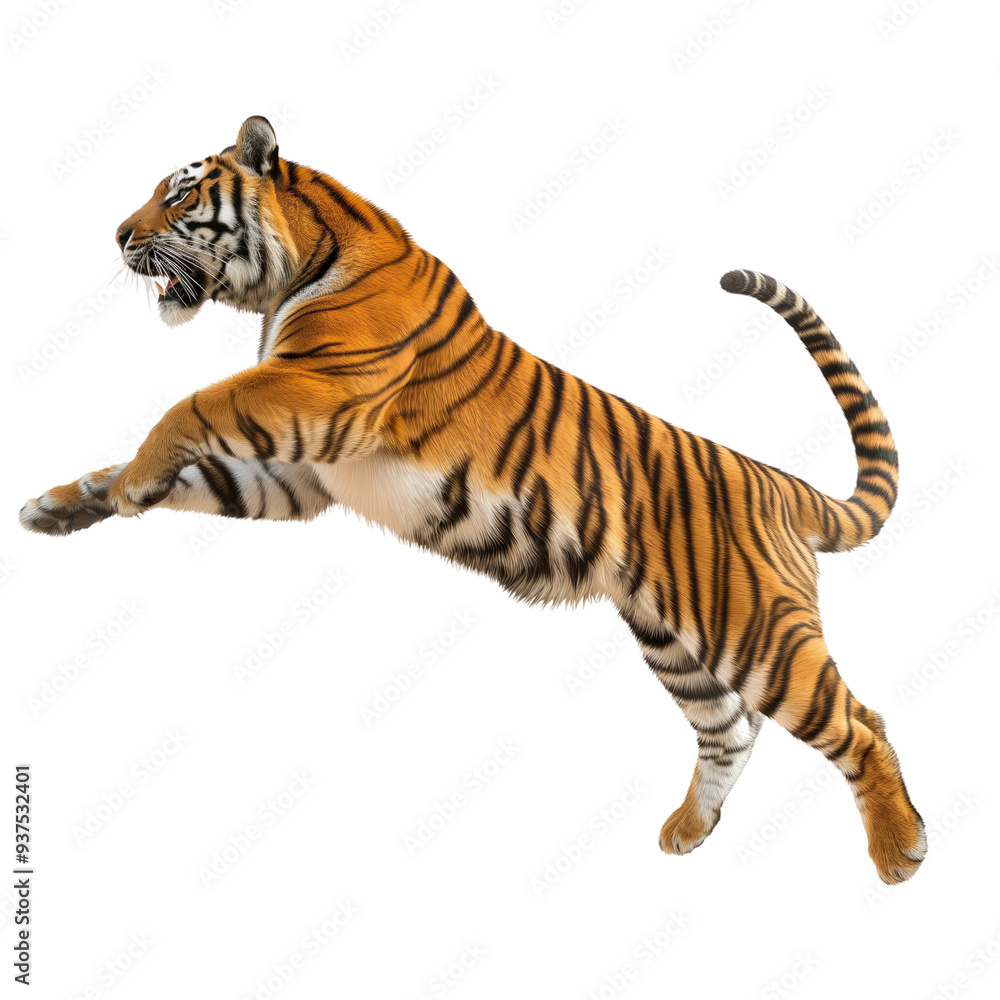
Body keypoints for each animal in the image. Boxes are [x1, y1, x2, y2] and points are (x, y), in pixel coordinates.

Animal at [20, 115, 925, 884]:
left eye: (177, 195)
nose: (117, 235)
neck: (294, 271)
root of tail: (784, 484)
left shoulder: (317, 395)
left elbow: (191, 405)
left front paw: (127, 480)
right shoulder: (301, 473)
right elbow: (195, 472)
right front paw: (70, 503)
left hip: (757, 630)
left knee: (860, 723)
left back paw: (900, 849)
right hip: (676, 640)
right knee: (729, 730)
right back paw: (689, 830)